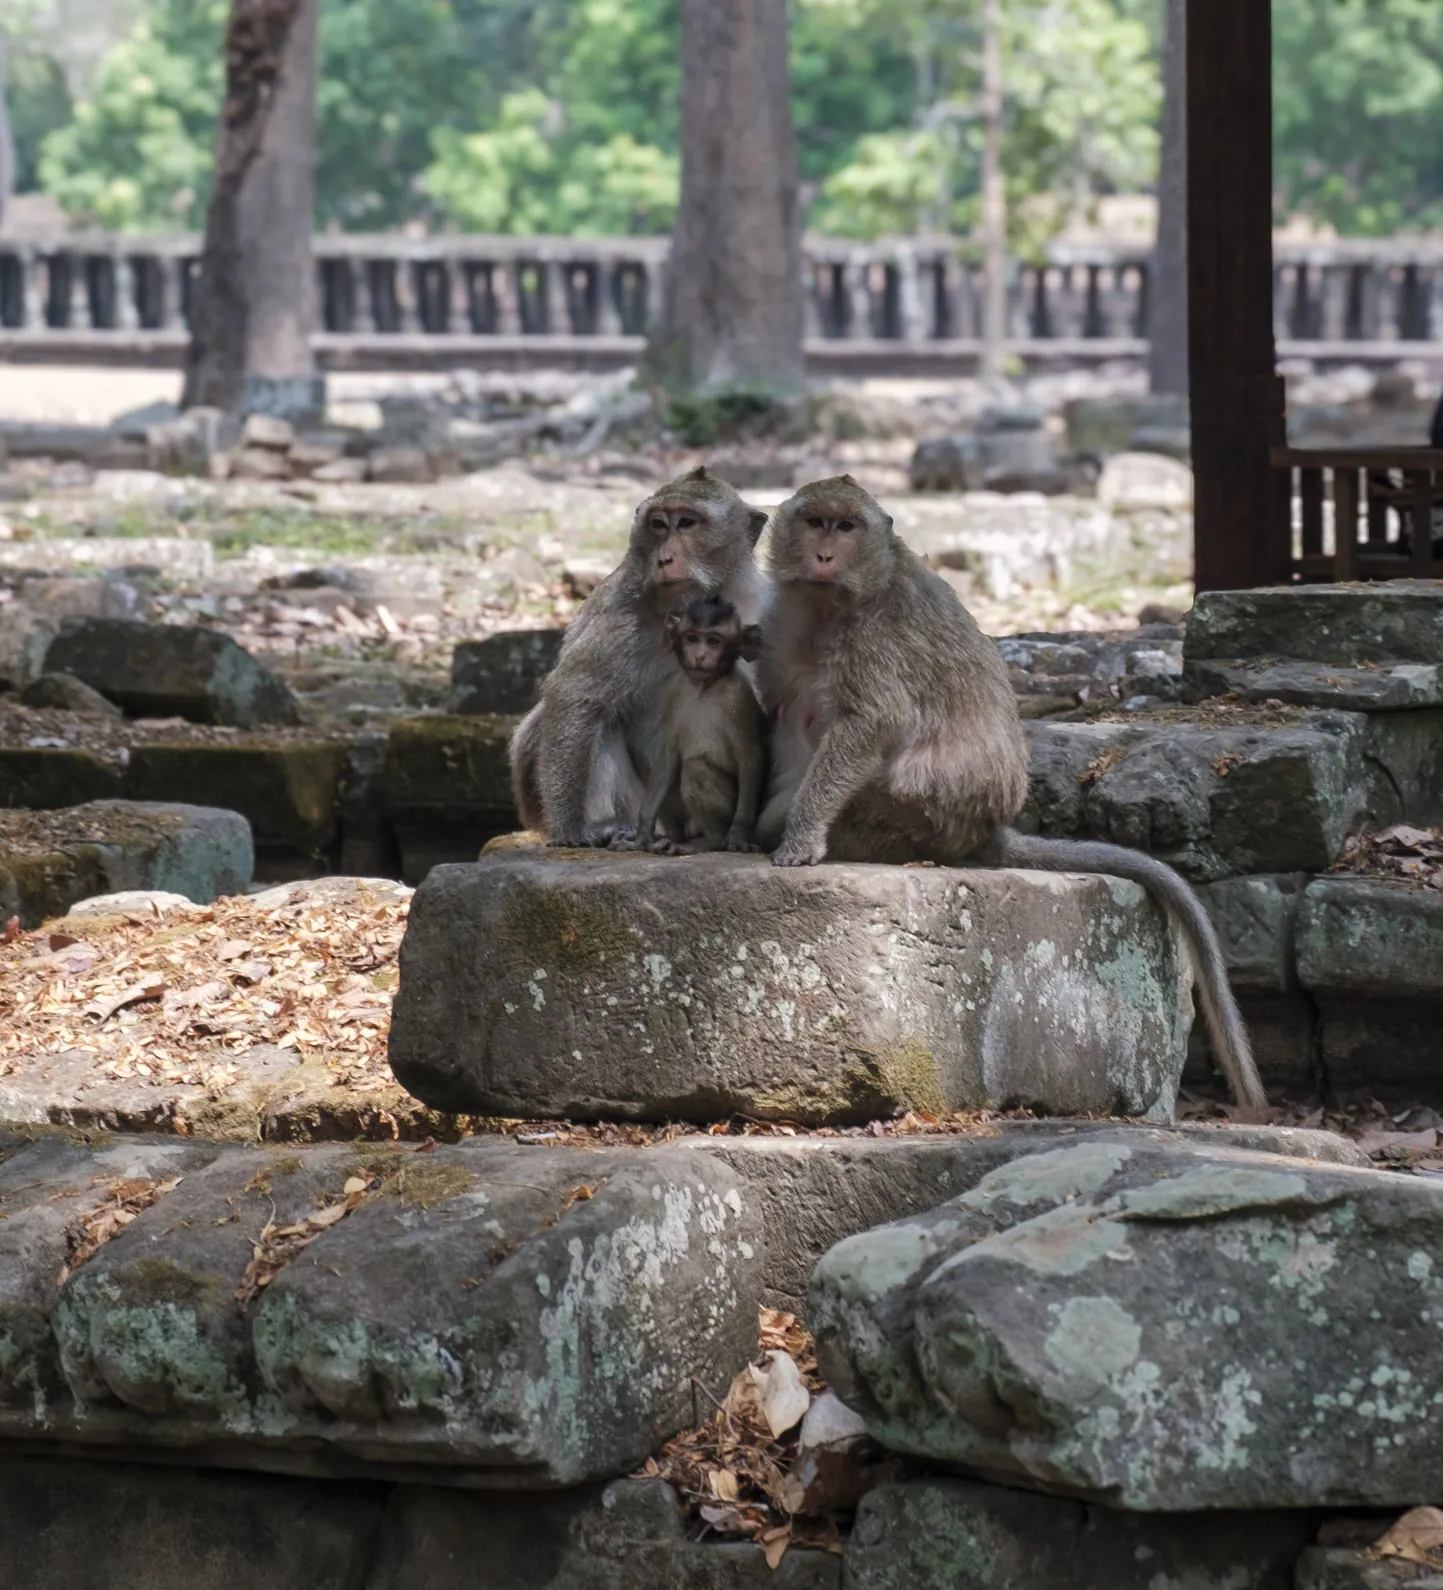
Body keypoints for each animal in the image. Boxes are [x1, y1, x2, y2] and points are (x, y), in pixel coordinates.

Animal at [632, 596, 766, 855]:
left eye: (713, 641)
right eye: (692, 639)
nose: (701, 656)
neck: (703, 688)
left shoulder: (738, 698)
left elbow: (750, 756)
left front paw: (738, 834)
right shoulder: (674, 692)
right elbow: (667, 756)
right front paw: (643, 832)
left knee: (696, 768)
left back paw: (710, 840)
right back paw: (674, 837)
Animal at [756, 475, 1268, 1114]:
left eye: (846, 527)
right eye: (816, 523)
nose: (825, 555)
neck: (835, 604)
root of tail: (988, 828)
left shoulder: (877, 638)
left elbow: (869, 724)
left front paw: (801, 834)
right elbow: (785, 707)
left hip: (923, 815)